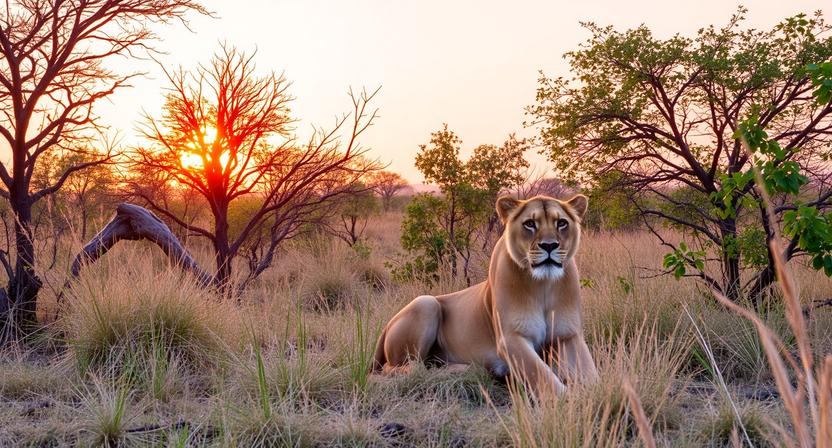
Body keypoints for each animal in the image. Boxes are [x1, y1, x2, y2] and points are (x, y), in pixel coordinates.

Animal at [372, 194, 599, 397]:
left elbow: (591, 373)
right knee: (402, 367)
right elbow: (542, 375)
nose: (549, 245)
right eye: (529, 224)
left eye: (561, 223)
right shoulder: (510, 337)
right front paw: (568, 401)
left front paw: (598, 396)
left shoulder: (568, 334)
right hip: (425, 303)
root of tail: (385, 327)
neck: (543, 284)